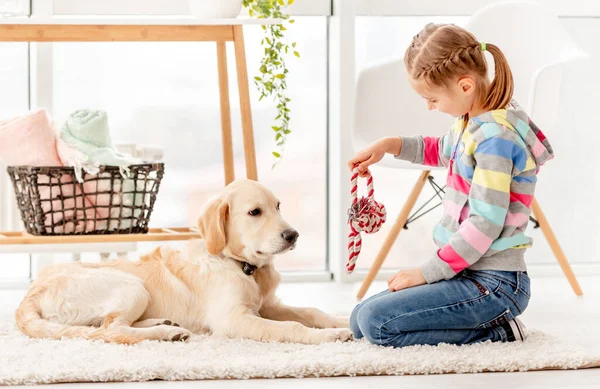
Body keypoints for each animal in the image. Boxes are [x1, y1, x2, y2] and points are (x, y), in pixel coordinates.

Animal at [15, 177, 352, 344]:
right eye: (255, 212)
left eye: (278, 206)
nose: (293, 235)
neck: (238, 264)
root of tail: (30, 294)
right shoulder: (233, 319)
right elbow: (293, 326)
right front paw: (330, 335)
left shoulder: (267, 306)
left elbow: (310, 311)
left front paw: (342, 320)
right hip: (131, 285)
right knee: (109, 330)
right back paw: (165, 333)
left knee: (111, 324)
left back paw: (162, 323)